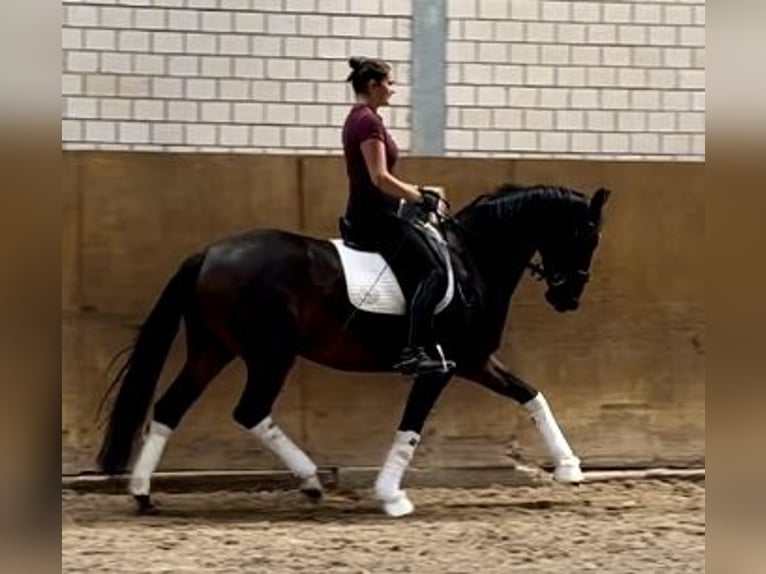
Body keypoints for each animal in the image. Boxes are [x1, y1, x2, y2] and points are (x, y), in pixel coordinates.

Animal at [96, 183, 612, 516]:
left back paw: (143, 493)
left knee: (170, 407)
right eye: (587, 236)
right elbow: (410, 429)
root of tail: (208, 253)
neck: (472, 260)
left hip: (213, 350)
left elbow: (531, 394)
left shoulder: (474, 360)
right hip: (270, 353)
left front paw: (569, 468)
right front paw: (391, 497)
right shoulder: (441, 366)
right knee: (249, 410)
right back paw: (309, 480)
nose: (568, 298)